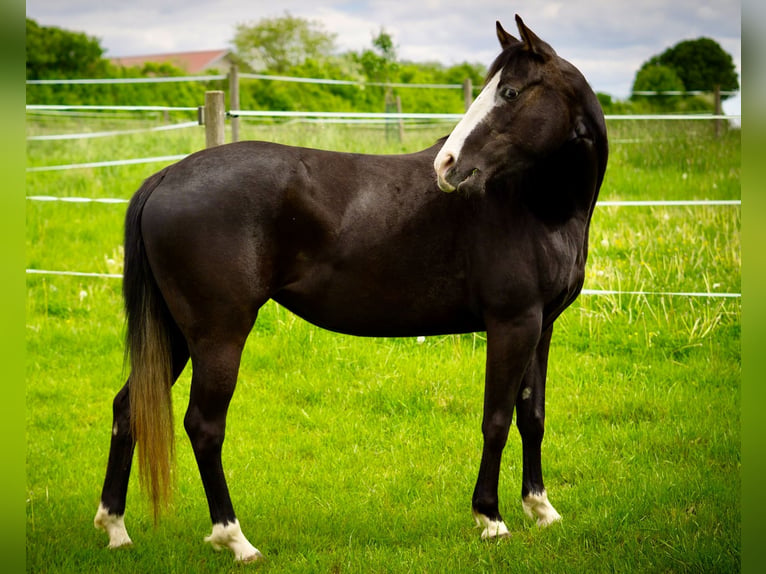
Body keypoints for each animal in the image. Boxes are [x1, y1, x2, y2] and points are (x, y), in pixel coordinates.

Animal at [94, 15, 608, 562]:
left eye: (509, 91)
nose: (447, 165)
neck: (536, 204)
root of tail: (166, 176)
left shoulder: (540, 325)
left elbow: (531, 415)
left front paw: (542, 510)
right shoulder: (512, 325)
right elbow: (496, 419)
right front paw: (490, 518)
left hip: (175, 334)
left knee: (128, 408)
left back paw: (116, 528)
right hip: (217, 337)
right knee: (204, 426)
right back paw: (235, 539)